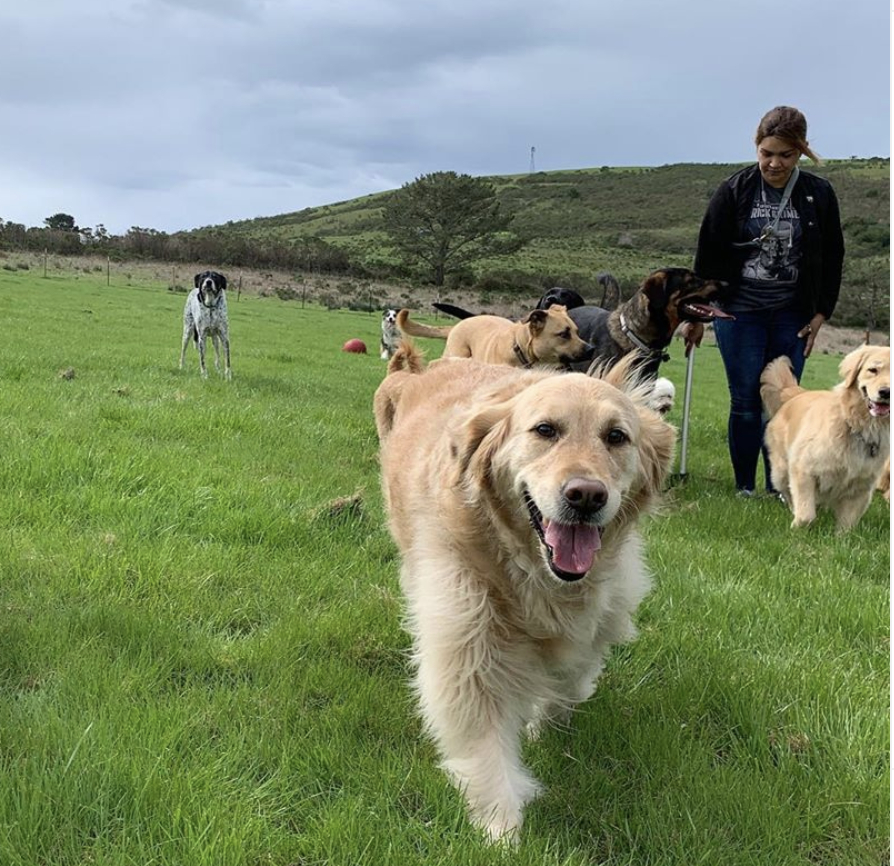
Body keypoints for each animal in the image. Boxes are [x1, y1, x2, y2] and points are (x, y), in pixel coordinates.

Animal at [374, 342, 676, 836]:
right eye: (545, 429)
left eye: (616, 436)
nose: (586, 496)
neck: (535, 571)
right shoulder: (467, 638)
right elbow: (485, 741)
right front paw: (501, 828)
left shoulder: (603, 609)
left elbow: (572, 675)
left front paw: (544, 723)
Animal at [764, 342, 888, 528]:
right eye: (873, 370)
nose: (885, 392)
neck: (860, 427)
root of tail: (796, 393)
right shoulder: (803, 470)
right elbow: (806, 513)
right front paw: (797, 528)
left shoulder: (861, 487)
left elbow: (847, 524)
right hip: (780, 470)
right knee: (787, 492)